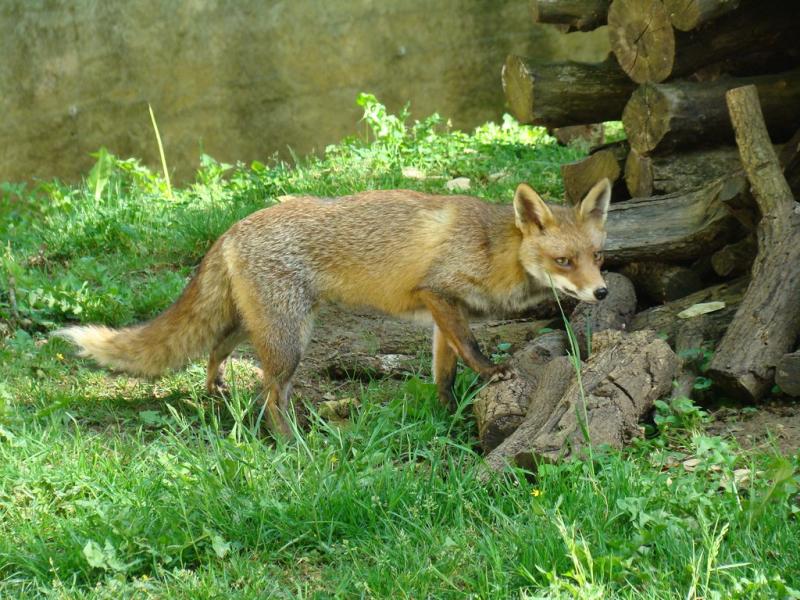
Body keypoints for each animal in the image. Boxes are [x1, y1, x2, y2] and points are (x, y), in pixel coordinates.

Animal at [55, 178, 612, 437]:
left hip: (253, 324)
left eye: (598, 256)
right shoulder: (437, 293)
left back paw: (217, 394)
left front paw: (444, 413)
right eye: (563, 261)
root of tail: (233, 226)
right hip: (290, 339)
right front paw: (493, 373)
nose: (602, 293)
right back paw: (292, 444)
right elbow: (471, 351)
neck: (494, 248)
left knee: (215, 349)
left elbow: (444, 372)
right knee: (270, 396)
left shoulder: (443, 314)